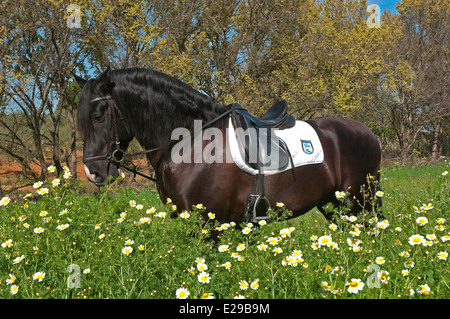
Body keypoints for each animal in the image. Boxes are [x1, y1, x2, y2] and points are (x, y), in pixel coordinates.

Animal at [75, 66, 382, 224]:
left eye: (98, 116)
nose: (93, 173)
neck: (192, 143)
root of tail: (367, 132)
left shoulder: (210, 223)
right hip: (334, 206)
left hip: (358, 204)